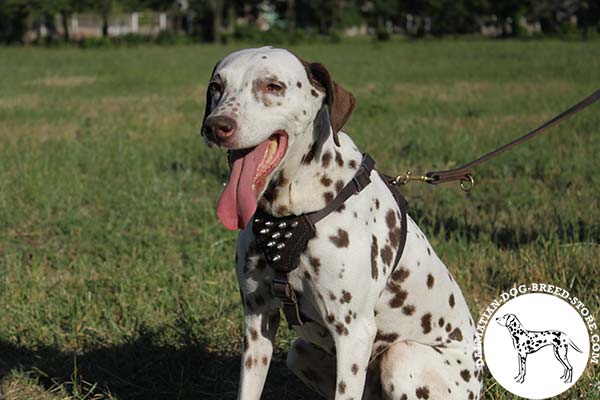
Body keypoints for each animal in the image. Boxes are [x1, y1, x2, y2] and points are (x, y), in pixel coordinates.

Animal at [202, 47, 482, 400]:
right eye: (216, 86)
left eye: (273, 86)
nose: (216, 126)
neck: (288, 214)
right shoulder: (257, 318)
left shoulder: (353, 331)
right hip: (300, 352)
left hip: (402, 358)